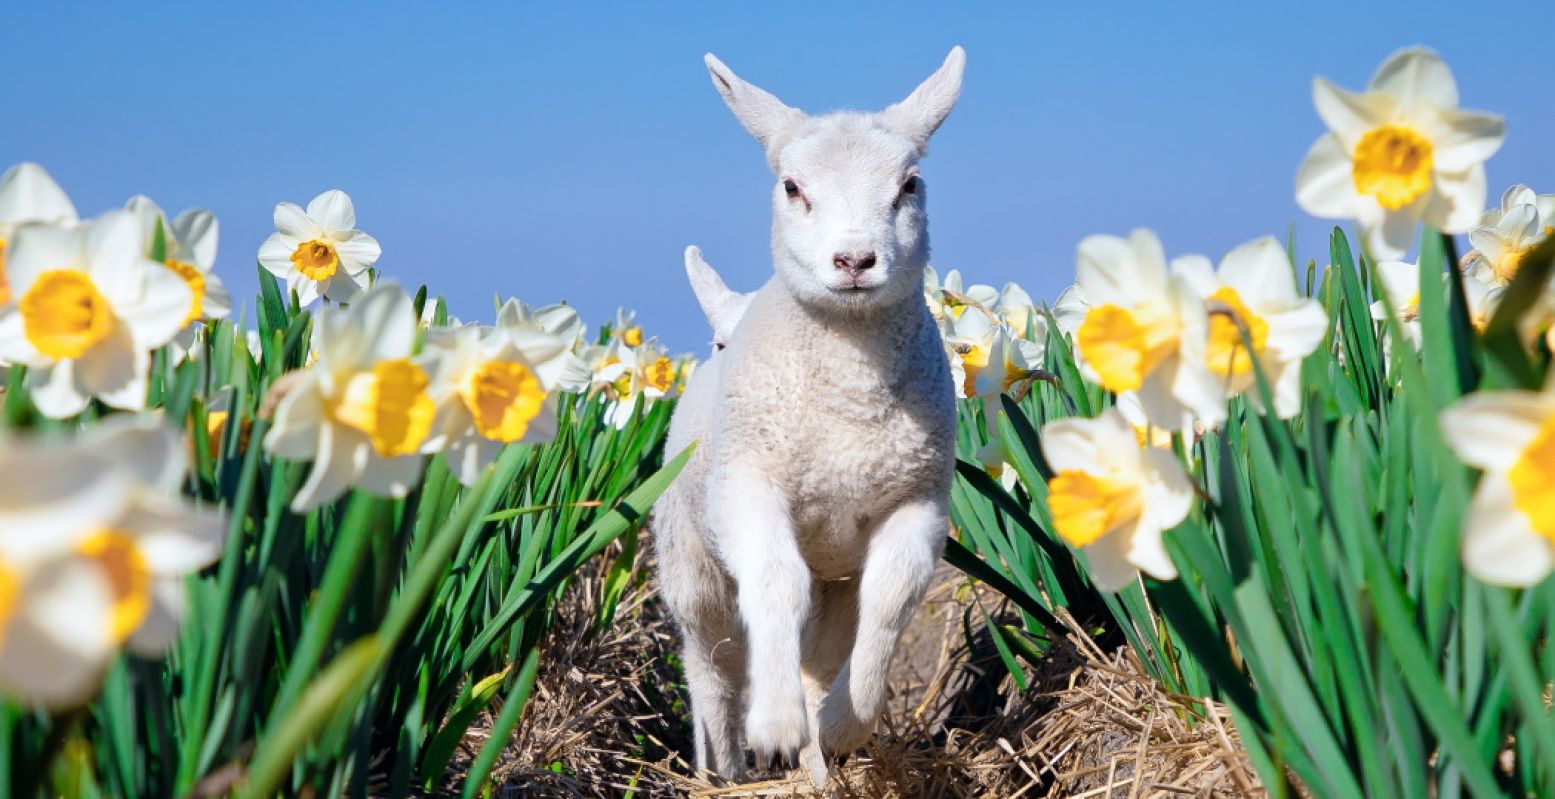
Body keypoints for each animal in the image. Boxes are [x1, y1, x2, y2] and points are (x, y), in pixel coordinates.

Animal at [653, 46, 964, 780]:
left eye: (910, 185)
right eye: (792, 187)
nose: (854, 260)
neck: (847, 406)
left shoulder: (915, 501)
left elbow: (890, 601)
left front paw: (843, 726)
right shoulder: (749, 488)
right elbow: (773, 584)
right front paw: (773, 725)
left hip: (835, 572)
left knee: (820, 651)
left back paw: (818, 755)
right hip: (691, 564)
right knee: (712, 666)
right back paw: (726, 767)